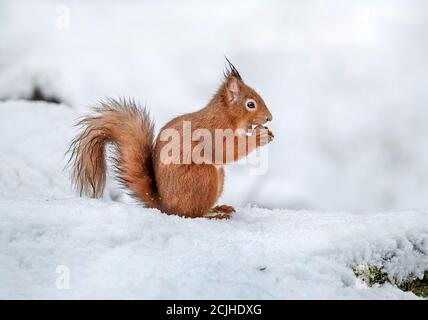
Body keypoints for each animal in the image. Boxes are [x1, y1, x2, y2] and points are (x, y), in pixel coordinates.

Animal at [68, 59, 272, 220]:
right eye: (250, 104)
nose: (269, 118)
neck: (226, 116)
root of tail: (164, 206)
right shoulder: (212, 132)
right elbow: (224, 150)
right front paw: (259, 137)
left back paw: (218, 208)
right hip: (204, 177)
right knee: (190, 213)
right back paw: (214, 215)